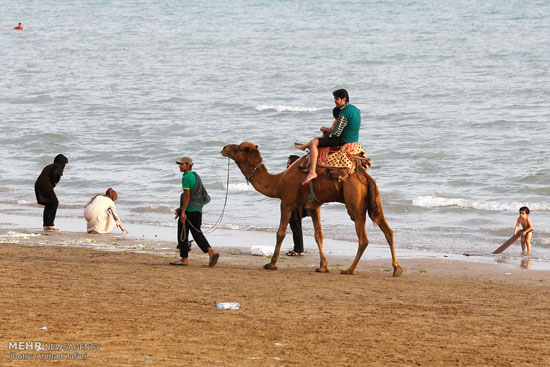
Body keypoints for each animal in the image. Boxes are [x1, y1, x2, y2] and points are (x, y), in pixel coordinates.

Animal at [220, 142, 406, 278]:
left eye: (237, 148)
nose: (224, 148)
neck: (278, 182)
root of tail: (366, 177)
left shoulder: (286, 201)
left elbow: (280, 232)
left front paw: (271, 264)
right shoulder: (314, 205)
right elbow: (319, 235)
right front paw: (323, 267)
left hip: (355, 201)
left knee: (364, 239)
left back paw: (349, 270)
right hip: (374, 201)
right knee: (388, 230)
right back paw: (396, 268)